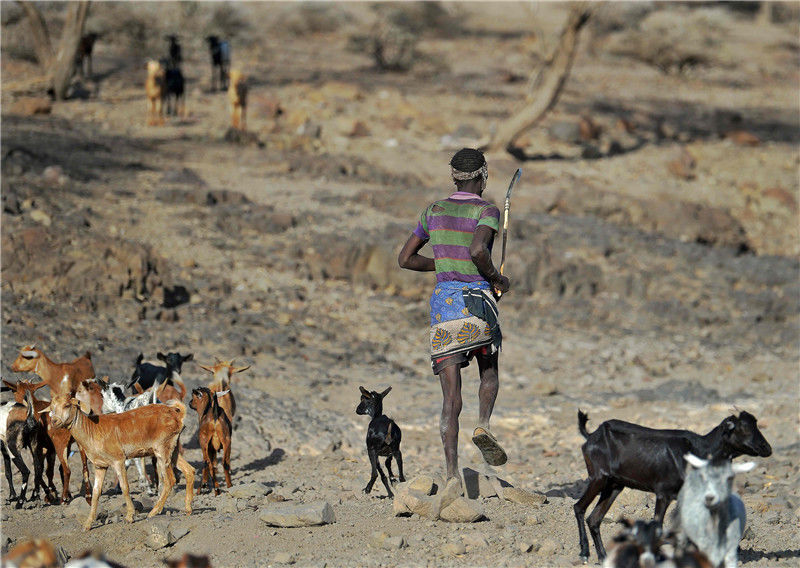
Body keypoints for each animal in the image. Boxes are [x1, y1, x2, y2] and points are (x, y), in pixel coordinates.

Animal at [44, 377, 195, 531]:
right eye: (52, 407)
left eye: (67, 405)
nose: (54, 421)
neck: (92, 430)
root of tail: (177, 414)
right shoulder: (100, 466)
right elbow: (96, 492)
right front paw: (87, 524)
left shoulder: (119, 460)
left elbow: (125, 487)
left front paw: (129, 517)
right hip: (173, 449)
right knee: (189, 470)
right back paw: (188, 509)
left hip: (162, 450)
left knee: (170, 480)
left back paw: (153, 512)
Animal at [574, 410, 771, 562]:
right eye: (744, 427)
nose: (767, 448)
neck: (699, 450)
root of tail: (591, 436)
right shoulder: (664, 493)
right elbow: (658, 527)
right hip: (598, 477)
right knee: (579, 507)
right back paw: (584, 553)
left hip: (614, 485)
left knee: (594, 519)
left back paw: (603, 557)